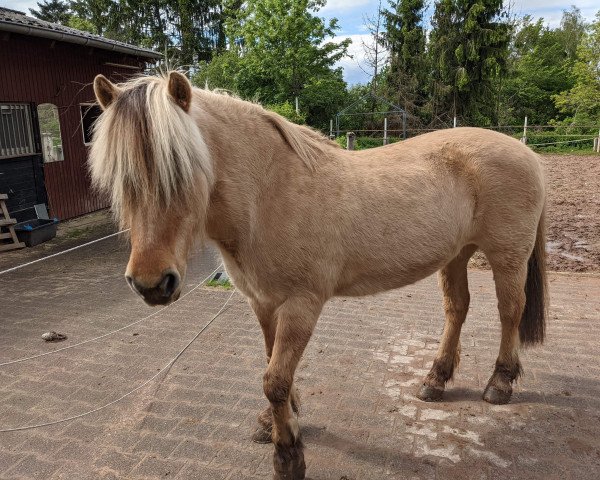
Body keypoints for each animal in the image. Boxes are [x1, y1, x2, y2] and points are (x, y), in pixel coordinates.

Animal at [90, 71, 548, 480]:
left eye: (183, 172)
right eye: (121, 180)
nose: (152, 284)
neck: (269, 194)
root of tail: (526, 152)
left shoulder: (301, 305)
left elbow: (275, 379)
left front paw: (288, 455)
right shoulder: (263, 303)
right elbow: (272, 365)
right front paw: (276, 421)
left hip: (506, 256)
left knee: (510, 311)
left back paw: (500, 384)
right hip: (456, 254)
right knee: (458, 308)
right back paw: (435, 380)